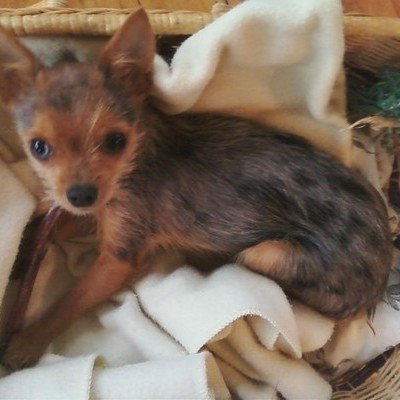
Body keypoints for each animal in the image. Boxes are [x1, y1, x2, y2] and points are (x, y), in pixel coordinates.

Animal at [0, 9, 393, 370]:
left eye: (115, 141)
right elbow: (61, 222)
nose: (80, 194)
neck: (133, 165)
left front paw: (26, 342)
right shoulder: (103, 209)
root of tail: (382, 272)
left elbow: (70, 300)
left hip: (268, 254)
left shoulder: (119, 257)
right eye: (39, 148)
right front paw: (25, 245)